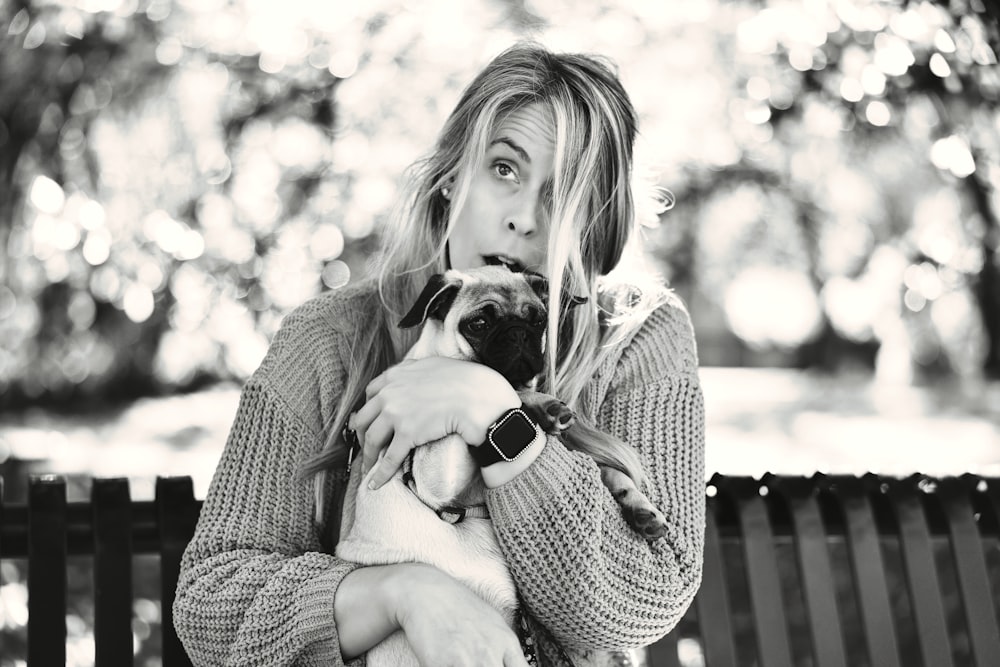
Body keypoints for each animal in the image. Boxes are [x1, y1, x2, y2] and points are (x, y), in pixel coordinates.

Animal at [336, 268, 664, 667]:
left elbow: (610, 472)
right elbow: (490, 383)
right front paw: (540, 404)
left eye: (537, 319)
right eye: (478, 324)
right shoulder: (432, 474)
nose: (518, 333)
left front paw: (641, 508)